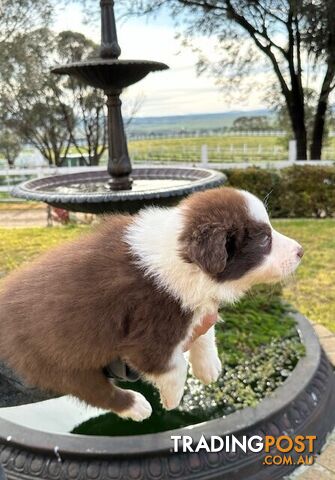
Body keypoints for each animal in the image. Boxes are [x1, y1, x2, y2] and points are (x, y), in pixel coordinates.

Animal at [0, 188, 304, 420]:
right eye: (264, 239)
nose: (301, 251)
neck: (181, 255)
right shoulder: (150, 334)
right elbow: (174, 365)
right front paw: (172, 398)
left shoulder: (193, 304)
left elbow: (204, 328)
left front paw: (209, 366)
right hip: (54, 359)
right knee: (92, 390)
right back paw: (135, 406)